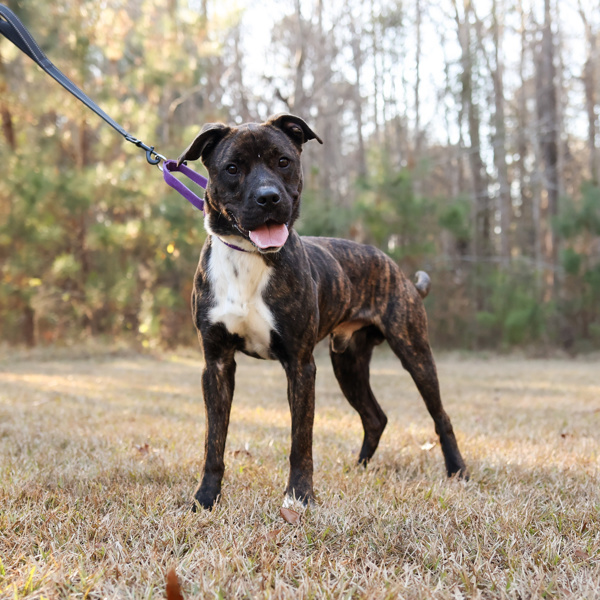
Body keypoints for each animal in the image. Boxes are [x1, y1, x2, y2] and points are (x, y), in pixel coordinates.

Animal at [178, 113, 468, 510]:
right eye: (232, 168)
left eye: (283, 161)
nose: (268, 197)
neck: (249, 257)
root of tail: (394, 267)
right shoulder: (217, 365)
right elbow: (214, 441)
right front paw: (206, 498)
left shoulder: (300, 366)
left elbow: (301, 440)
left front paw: (300, 496)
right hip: (349, 363)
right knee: (375, 417)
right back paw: (359, 469)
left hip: (414, 352)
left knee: (440, 415)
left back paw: (457, 470)